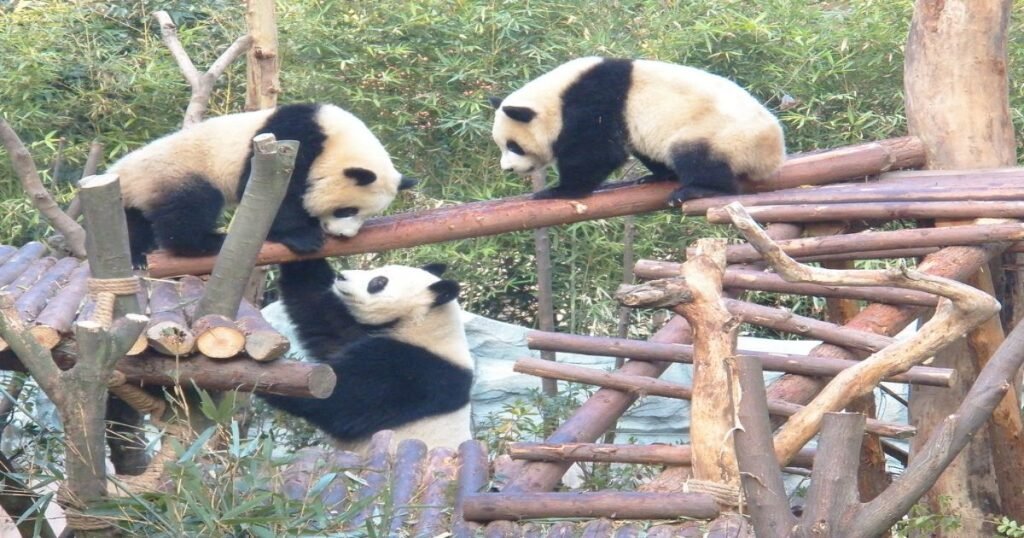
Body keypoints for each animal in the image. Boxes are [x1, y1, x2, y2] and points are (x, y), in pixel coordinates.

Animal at [109, 102, 415, 264]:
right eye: (347, 210)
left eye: (366, 216)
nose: (344, 235)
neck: (334, 139)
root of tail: (119, 173)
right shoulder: (290, 141)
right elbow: (272, 194)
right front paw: (302, 236)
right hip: (175, 171)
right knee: (192, 207)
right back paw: (206, 242)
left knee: (132, 224)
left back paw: (137, 256)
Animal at [262, 258, 473, 450]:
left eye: (378, 282)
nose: (341, 276)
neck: (425, 323)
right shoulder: (355, 332)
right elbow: (318, 306)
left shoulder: (412, 371)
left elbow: (338, 399)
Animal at [487, 56, 782, 203]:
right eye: (503, 146)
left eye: (513, 146)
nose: (507, 169)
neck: (556, 97)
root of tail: (772, 156)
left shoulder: (592, 103)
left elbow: (597, 153)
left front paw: (559, 191)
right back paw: (659, 176)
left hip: (721, 133)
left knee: (697, 157)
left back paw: (698, 190)